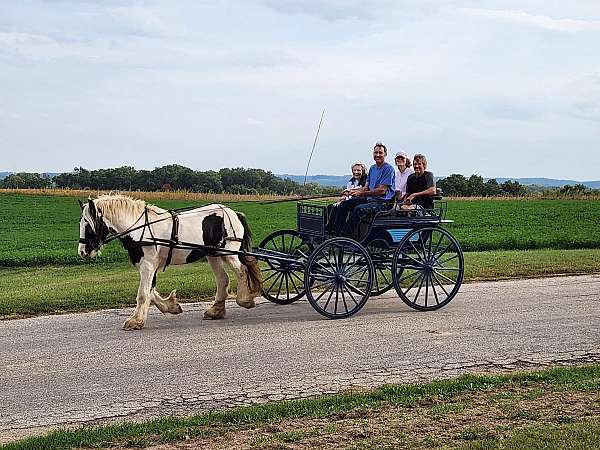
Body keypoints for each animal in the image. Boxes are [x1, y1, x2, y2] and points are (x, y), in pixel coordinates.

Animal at [77, 194, 260, 330]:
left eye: (88, 224)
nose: (82, 252)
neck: (140, 229)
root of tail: (234, 213)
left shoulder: (147, 265)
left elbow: (143, 294)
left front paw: (135, 321)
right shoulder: (150, 266)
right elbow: (151, 291)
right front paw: (171, 306)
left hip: (229, 253)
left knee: (242, 271)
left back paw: (245, 299)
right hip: (213, 255)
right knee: (223, 279)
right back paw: (215, 311)